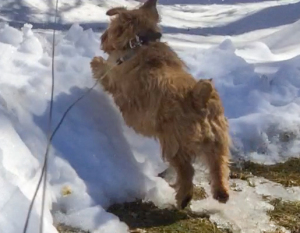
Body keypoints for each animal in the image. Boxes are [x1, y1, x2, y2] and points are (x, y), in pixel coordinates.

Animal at [90, 0, 231, 209]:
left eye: (113, 26)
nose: (103, 37)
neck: (141, 43)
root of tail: (198, 98)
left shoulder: (114, 77)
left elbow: (103, 71)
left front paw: (95, 61)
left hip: (174, 143)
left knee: (186, 171)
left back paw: (183, 197)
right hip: (218, 140)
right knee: (218, 164)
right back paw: (221, 192)